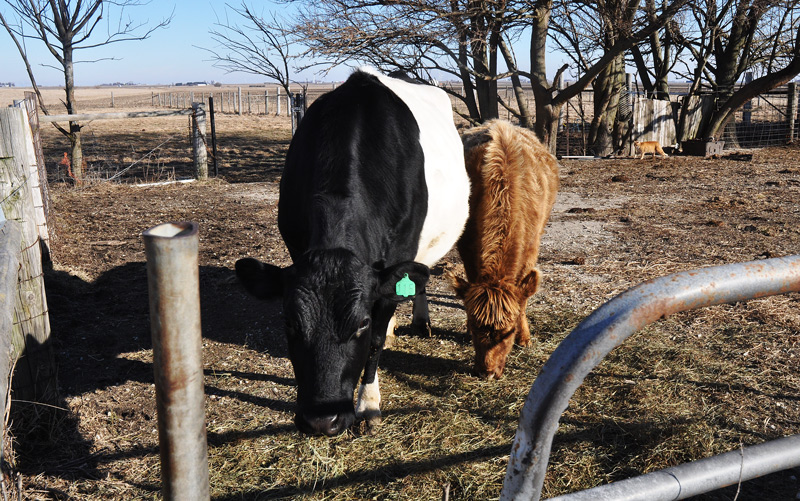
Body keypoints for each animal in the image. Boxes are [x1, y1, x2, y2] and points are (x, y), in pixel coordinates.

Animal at [236, 68, 470, 436]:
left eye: (360, 322)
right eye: (289, 321)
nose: (321, 420)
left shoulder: (395, 261)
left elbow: (375, 339)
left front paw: (369, 403)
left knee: (420, 276)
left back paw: (421, 320)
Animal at [451, 120, 559, 380]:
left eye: (508, 331)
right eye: (474, 327)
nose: (487, 372)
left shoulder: (530, 251)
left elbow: (523, 299)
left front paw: (524, 337)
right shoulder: (467, 248)